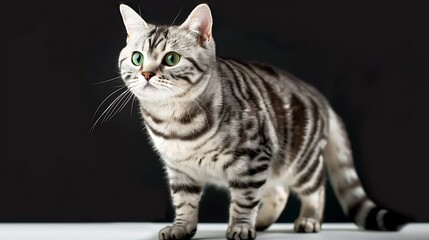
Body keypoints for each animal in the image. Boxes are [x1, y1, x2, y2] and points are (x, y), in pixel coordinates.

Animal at [116, 3, 408, 240]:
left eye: (171, 59)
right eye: (137, 58)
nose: (146, 73)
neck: (174, 121)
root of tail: (320, 96)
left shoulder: (250, 157)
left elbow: (243, 199)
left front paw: (240, 226)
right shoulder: (179, 169)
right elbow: (184, 202)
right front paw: (181, 228)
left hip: (300, 162)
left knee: (316, 187)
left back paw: (308, 219)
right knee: (277, 193)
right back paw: (263, 221)